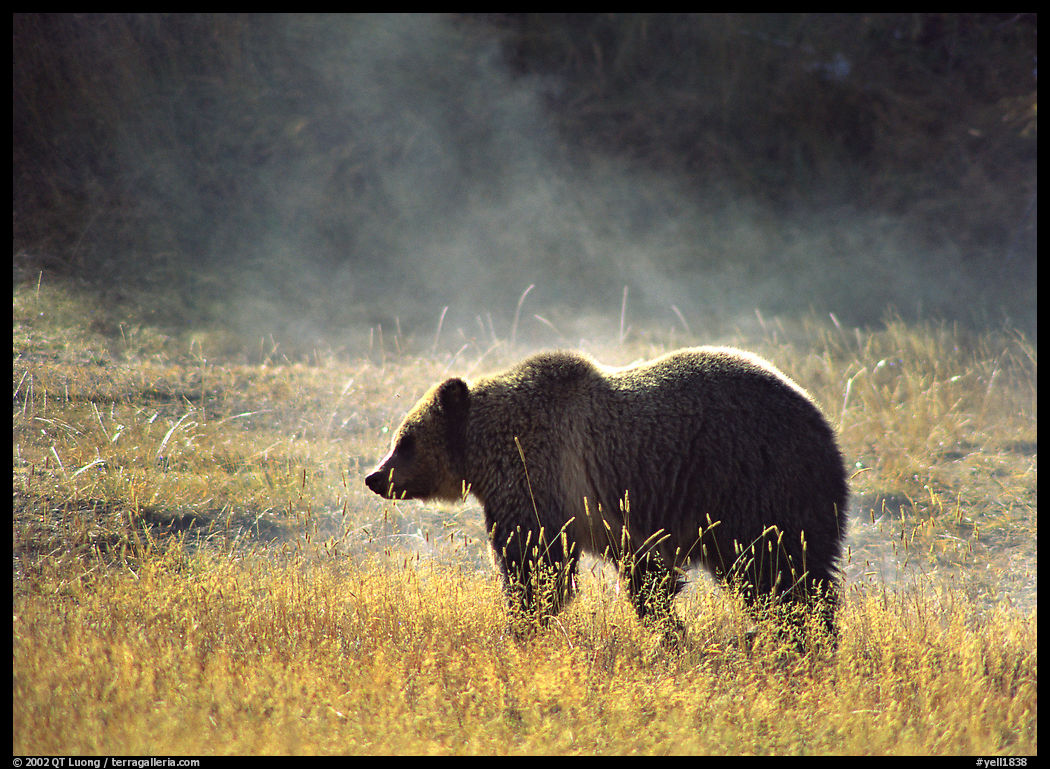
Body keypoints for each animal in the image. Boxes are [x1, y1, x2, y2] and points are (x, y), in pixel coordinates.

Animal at [365, 347, 849, 647]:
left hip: (754, 486)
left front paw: (517, 626)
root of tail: (825, 428)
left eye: (404, 440)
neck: (488, 451)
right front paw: (669, 629)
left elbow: (536, 565)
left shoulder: (539, 480)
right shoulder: (619, 519)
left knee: (778, 572)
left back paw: (799, 639)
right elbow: (647, 578)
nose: (374, 476)